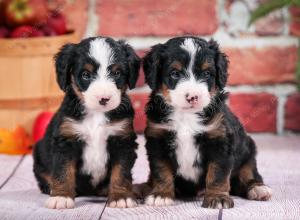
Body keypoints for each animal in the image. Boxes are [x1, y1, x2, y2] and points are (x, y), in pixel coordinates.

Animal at [33, 36, 141, 210]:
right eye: (85, 74)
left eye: (117, 73)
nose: (104, 99)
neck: (96, 114)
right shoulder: (66, 140)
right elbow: (63, 171)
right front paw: (61, 196)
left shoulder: (122, 140)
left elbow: (121, 172)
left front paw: (121, 197)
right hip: (39, 154)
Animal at [143, 37, 272, 209]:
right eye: (175, 73)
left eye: (206, 73)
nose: (193, 97)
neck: (186, 116)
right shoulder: (158, 139)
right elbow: (161, 170)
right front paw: (161, 195)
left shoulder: (220, 141)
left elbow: (217, 174)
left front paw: (217, 197)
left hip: (248, 152)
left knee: (248, 173)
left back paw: (259, 189)